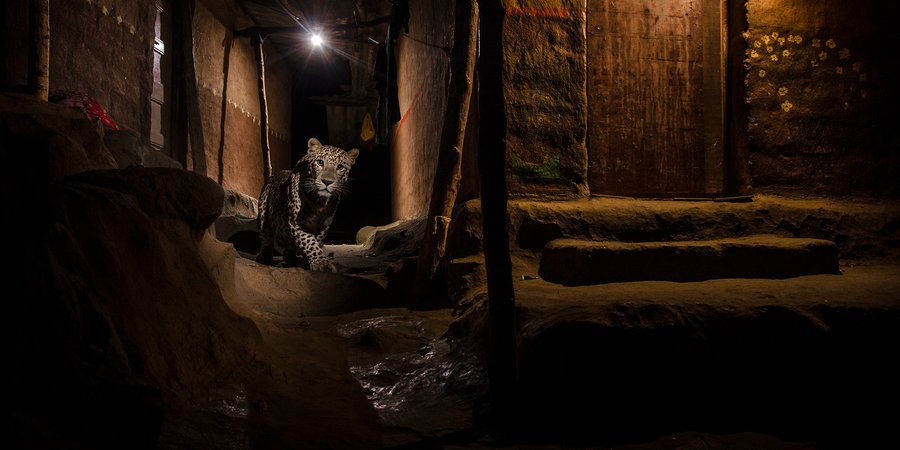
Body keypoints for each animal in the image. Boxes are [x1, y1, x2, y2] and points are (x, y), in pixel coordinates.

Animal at [255, 137, 359, 272]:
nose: (327, 181)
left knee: (288, 249)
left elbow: (316, 242)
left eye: (340, 166)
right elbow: (310, 243)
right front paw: (321, 262)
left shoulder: (323, 227)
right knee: (266, 238)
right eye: (320, 162)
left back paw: (292, 260)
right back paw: (264, 256)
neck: (320, 203)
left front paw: (308, 262)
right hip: (263, 216)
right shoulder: (297, 224)